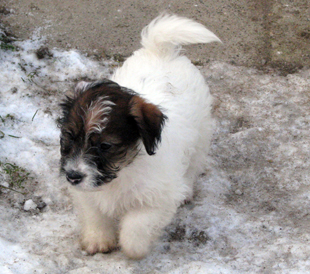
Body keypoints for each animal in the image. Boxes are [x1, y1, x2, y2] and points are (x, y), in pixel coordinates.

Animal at [58, 14, 220, 260]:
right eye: (69, 136)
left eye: (105, 145)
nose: (73, 176)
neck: (123, 171)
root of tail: (160, 51)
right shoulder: (88, 194)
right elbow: (95, 214)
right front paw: (98, 239)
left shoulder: (158, 199)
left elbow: (136, 227)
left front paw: (134, 248)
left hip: (201, 136)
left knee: (193, 165)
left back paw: (187, 190)